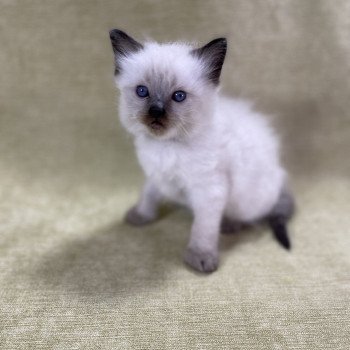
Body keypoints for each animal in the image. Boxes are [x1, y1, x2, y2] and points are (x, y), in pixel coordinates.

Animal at [108, 28, 294, 272]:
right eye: (142, 92)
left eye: (179, 96)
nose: (156, 111)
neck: (167, 146)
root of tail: (281, 180)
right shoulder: (156, 175)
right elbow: (148, 195)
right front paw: (141, 216)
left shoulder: (209, 191)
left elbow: (203, 228)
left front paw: (200, 257)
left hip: (248, 198)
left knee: (250, 215)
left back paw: (230, 224)